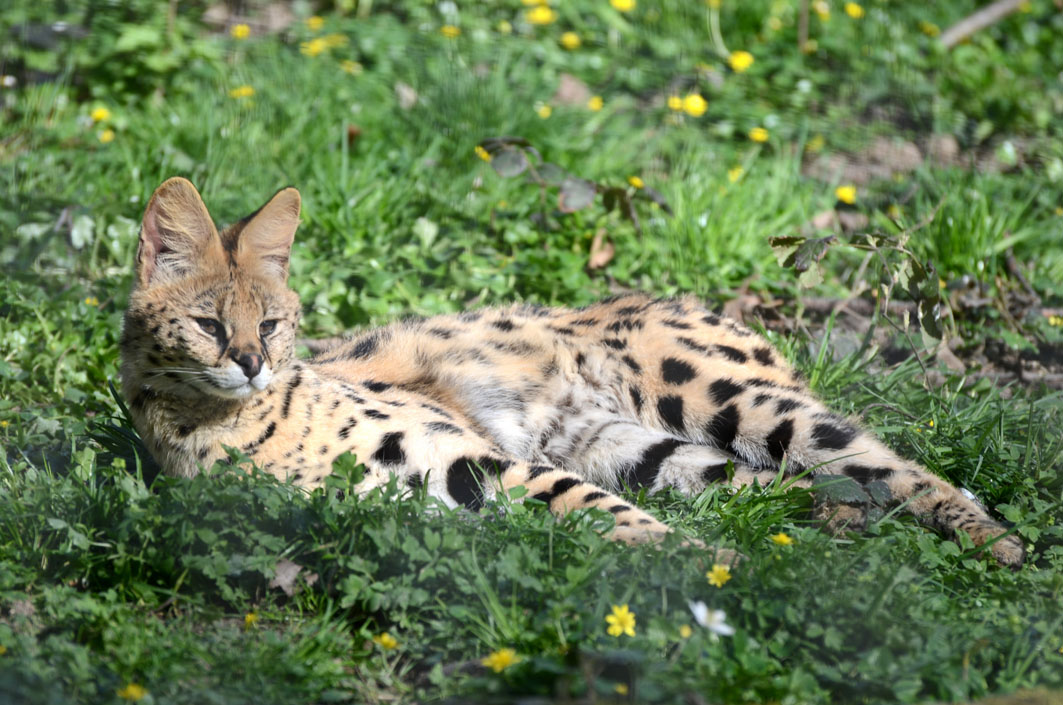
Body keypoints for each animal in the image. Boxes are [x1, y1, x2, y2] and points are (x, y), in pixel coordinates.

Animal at [119, 177, 1025, 569]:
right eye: (209, 325)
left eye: (270, 322)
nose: (251, 361)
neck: (243, 421)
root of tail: (684, 297)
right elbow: (603, 516)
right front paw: (705, 563)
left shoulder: (466, 456)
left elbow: (608, 517)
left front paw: (705, 569)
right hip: (642, 450)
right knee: (779, 486)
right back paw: (839, 527)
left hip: (725, 397)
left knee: (892, 463)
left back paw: (994, 539)